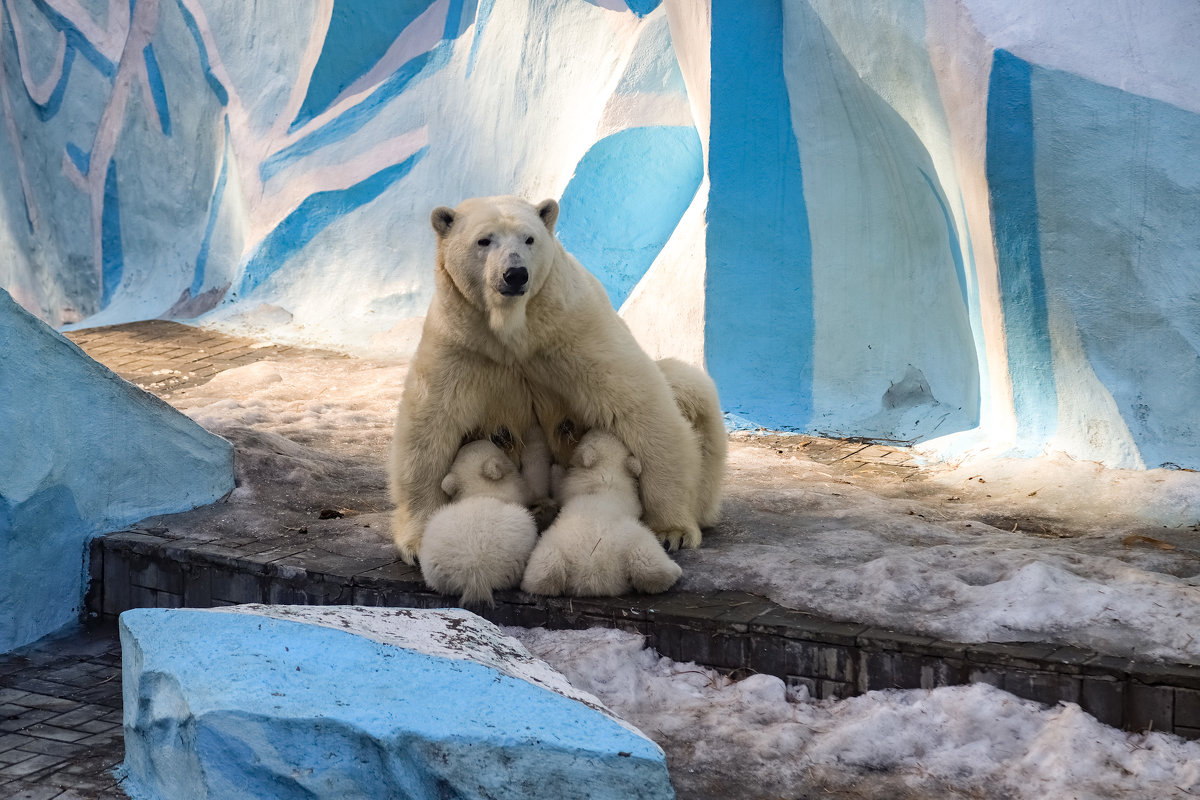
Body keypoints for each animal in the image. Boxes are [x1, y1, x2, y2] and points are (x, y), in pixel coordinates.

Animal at [388, 194, 720, 563]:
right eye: (484, 240)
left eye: (529, 239)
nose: (515, 274)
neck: (517, 333)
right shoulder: (462, 341)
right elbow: (430, 426)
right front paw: (418, 542)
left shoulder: (575, 329)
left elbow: (641, 407)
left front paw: (672, 531)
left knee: (687, 387)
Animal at [520, 431, 681, 594]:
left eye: (590, 436)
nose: (598, 429)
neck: (606, 474)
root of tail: (593, 570)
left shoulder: (572, 486)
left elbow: (560, 488)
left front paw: (556, 468)